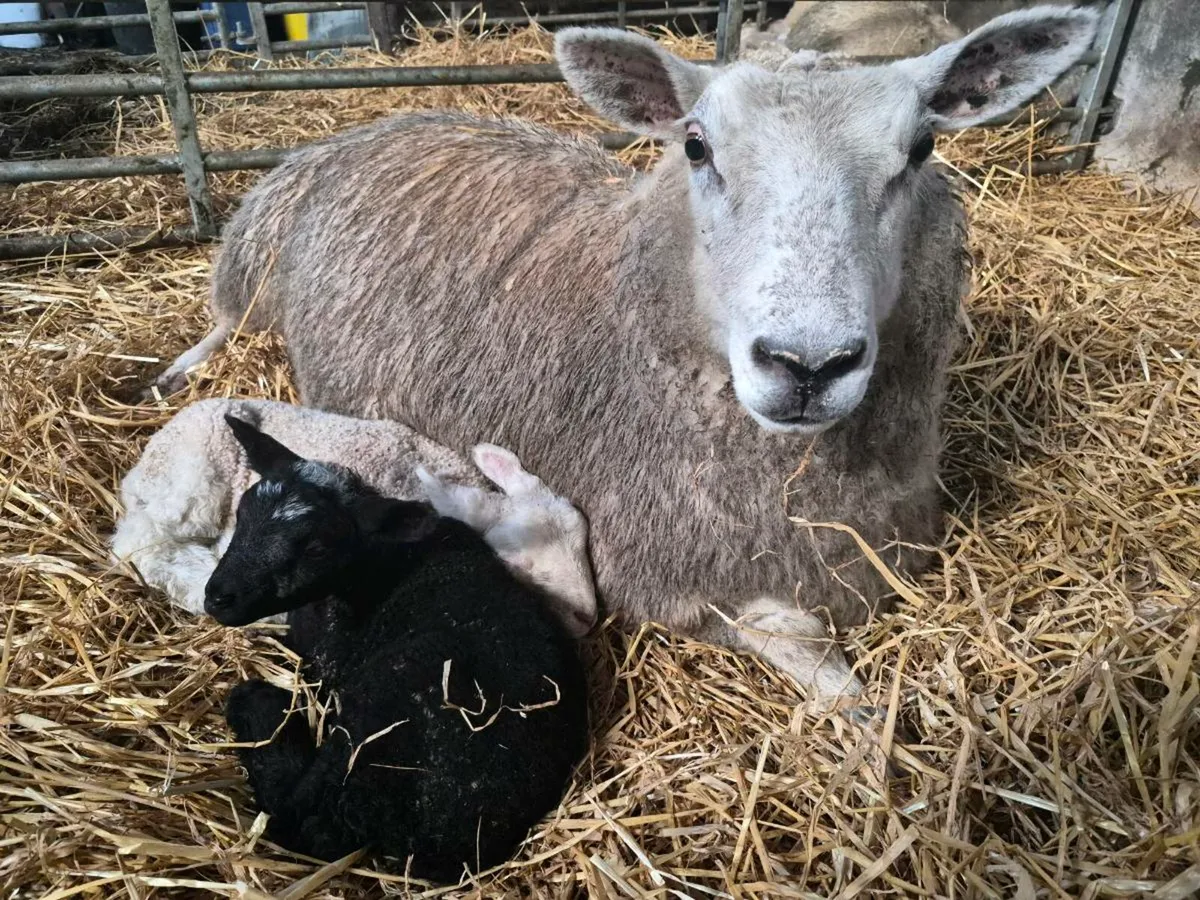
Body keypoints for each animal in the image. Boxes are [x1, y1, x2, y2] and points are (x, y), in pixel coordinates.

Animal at [207, 416, 590, 883]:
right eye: (241, 515)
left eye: (316, 547)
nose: (218, 598)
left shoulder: (331, 663)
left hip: (376, 713)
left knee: (298, 818)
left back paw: (258, 705)